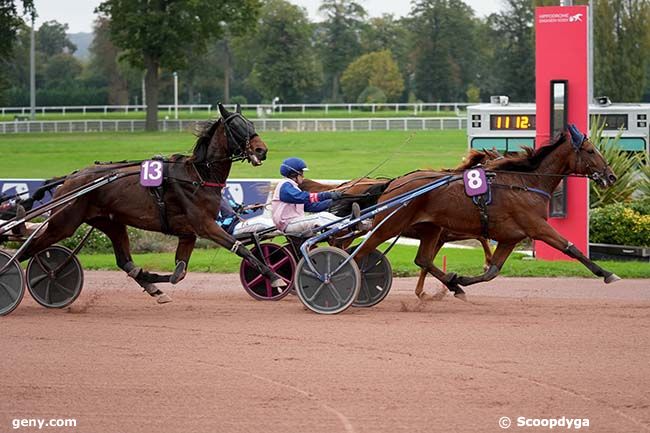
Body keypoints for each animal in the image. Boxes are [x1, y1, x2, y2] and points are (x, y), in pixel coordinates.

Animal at [19, 103, 284, 302]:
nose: (261, 150)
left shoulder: (188, 233)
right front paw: (275, 277)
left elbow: (179, 273)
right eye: (237, 127)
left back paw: (150, 286)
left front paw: (152, 279)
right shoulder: (205, 225)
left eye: (251, 124)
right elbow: (241, 249)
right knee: (28, 250)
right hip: (63, 223)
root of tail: (70, 178)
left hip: (111, 223)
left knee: (124, 261)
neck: (198, 176)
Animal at [352, 126, 616, 298]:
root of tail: (394, 183)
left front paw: (459, 280)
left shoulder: (511, 237)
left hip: (430, 228)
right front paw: (607, 273)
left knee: (422, 259)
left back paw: (453, 286)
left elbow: (492, 271)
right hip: (389, 225)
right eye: (591, 150)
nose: (611, 176)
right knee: (358, 252)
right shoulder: (537, 226)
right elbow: (570, 248)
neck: (526, 182)